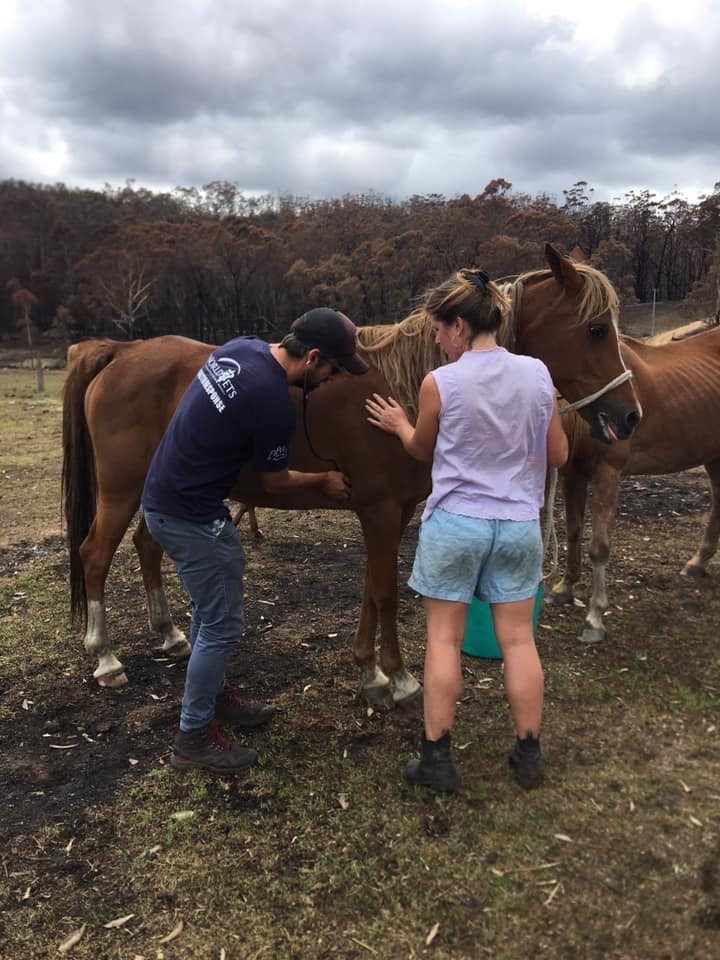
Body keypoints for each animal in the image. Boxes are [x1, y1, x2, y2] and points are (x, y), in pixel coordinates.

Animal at [63, 244, 640, 708]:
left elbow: (370, 586)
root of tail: (119, 351)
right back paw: (105, 658)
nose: (629, 416)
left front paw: (371, 673)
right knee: (94, 553)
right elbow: (385, 592)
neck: (402, 388)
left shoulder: (391, 511)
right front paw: (401, 679)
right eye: (595, 329)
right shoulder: (380, 510)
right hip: (122, 489)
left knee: (146, 546)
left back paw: (169, 634)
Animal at [556, 324, 720, 644]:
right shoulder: (573, 474)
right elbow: (573, 531)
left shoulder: (607, 472)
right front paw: (565, 588)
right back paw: (697, 562)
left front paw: (594, 618)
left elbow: (599, 546)